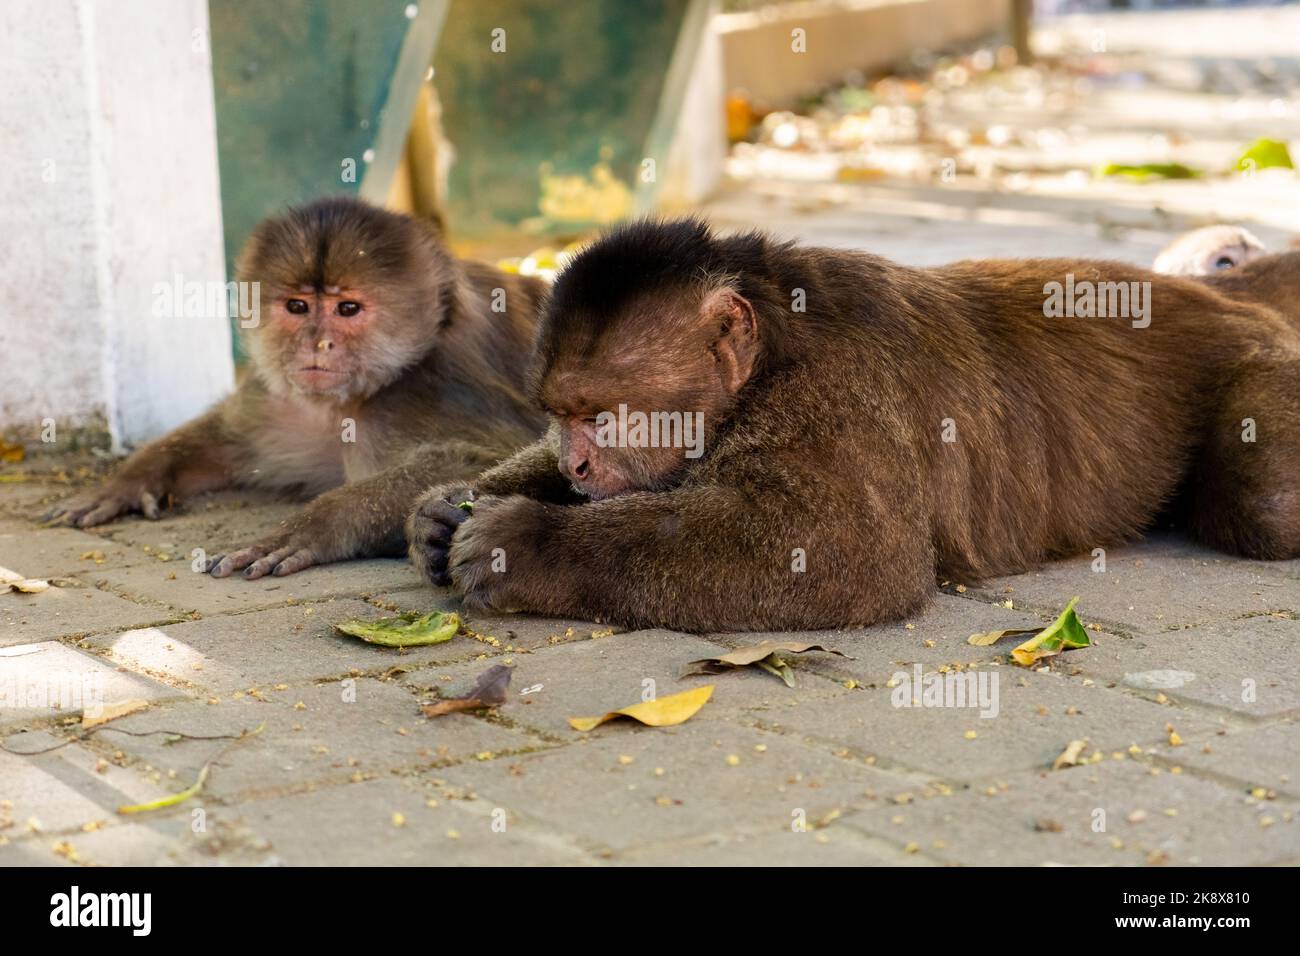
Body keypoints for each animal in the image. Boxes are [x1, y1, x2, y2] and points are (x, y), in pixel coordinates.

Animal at [48, 197, 546, 580]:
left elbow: (485, 461)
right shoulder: (276, 399)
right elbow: (226, 441)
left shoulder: (425, 392)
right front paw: (129, 480)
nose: (316, 342)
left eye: (347, 309)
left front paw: (316, 526)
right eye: (297, 307)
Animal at [405, 219, 1300, 632]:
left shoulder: (837, 387)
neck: (773, 345)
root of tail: (1221, 295)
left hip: (1263, 362)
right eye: (560, 419)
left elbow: (846, 555)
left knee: (1266, 504)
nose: (580, 467)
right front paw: (445, 511)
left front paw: (526, 545)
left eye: (602, 416)